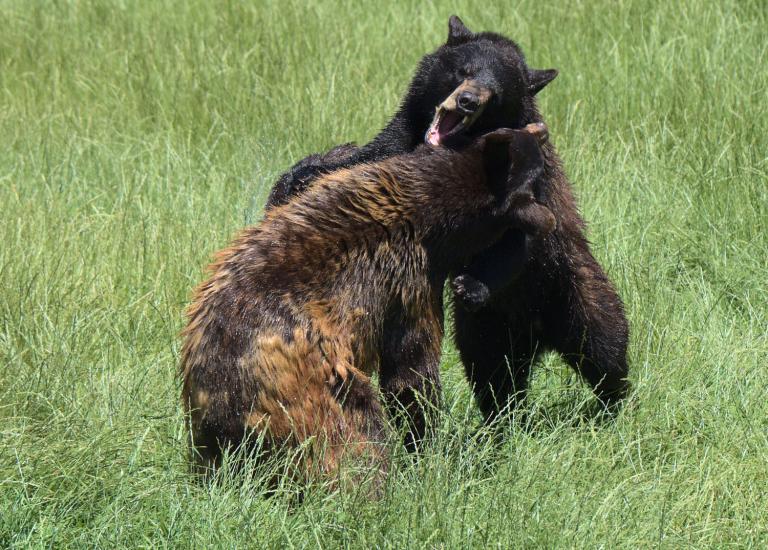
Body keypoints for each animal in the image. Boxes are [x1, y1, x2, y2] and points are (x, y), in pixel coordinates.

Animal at [181, 124, 552, 482]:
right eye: (535, 165)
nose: (541, 128)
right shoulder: (409, 277)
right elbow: (410, 371)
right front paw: (426, 448)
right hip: (310, 386)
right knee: (355, 434)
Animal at [263, 15, 630, 427]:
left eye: (496, 91)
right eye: (463, 70)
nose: (468, 99)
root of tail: (537, 335)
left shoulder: (526, 175)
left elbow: (520, 232)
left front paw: (472, 283)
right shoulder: (399, 142)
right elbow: (361, 162)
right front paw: (301, 175)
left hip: (572, 286)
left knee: (603, 344)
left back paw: (614, 402)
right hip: (487, 330)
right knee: (492, 373)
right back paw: (502, 419)